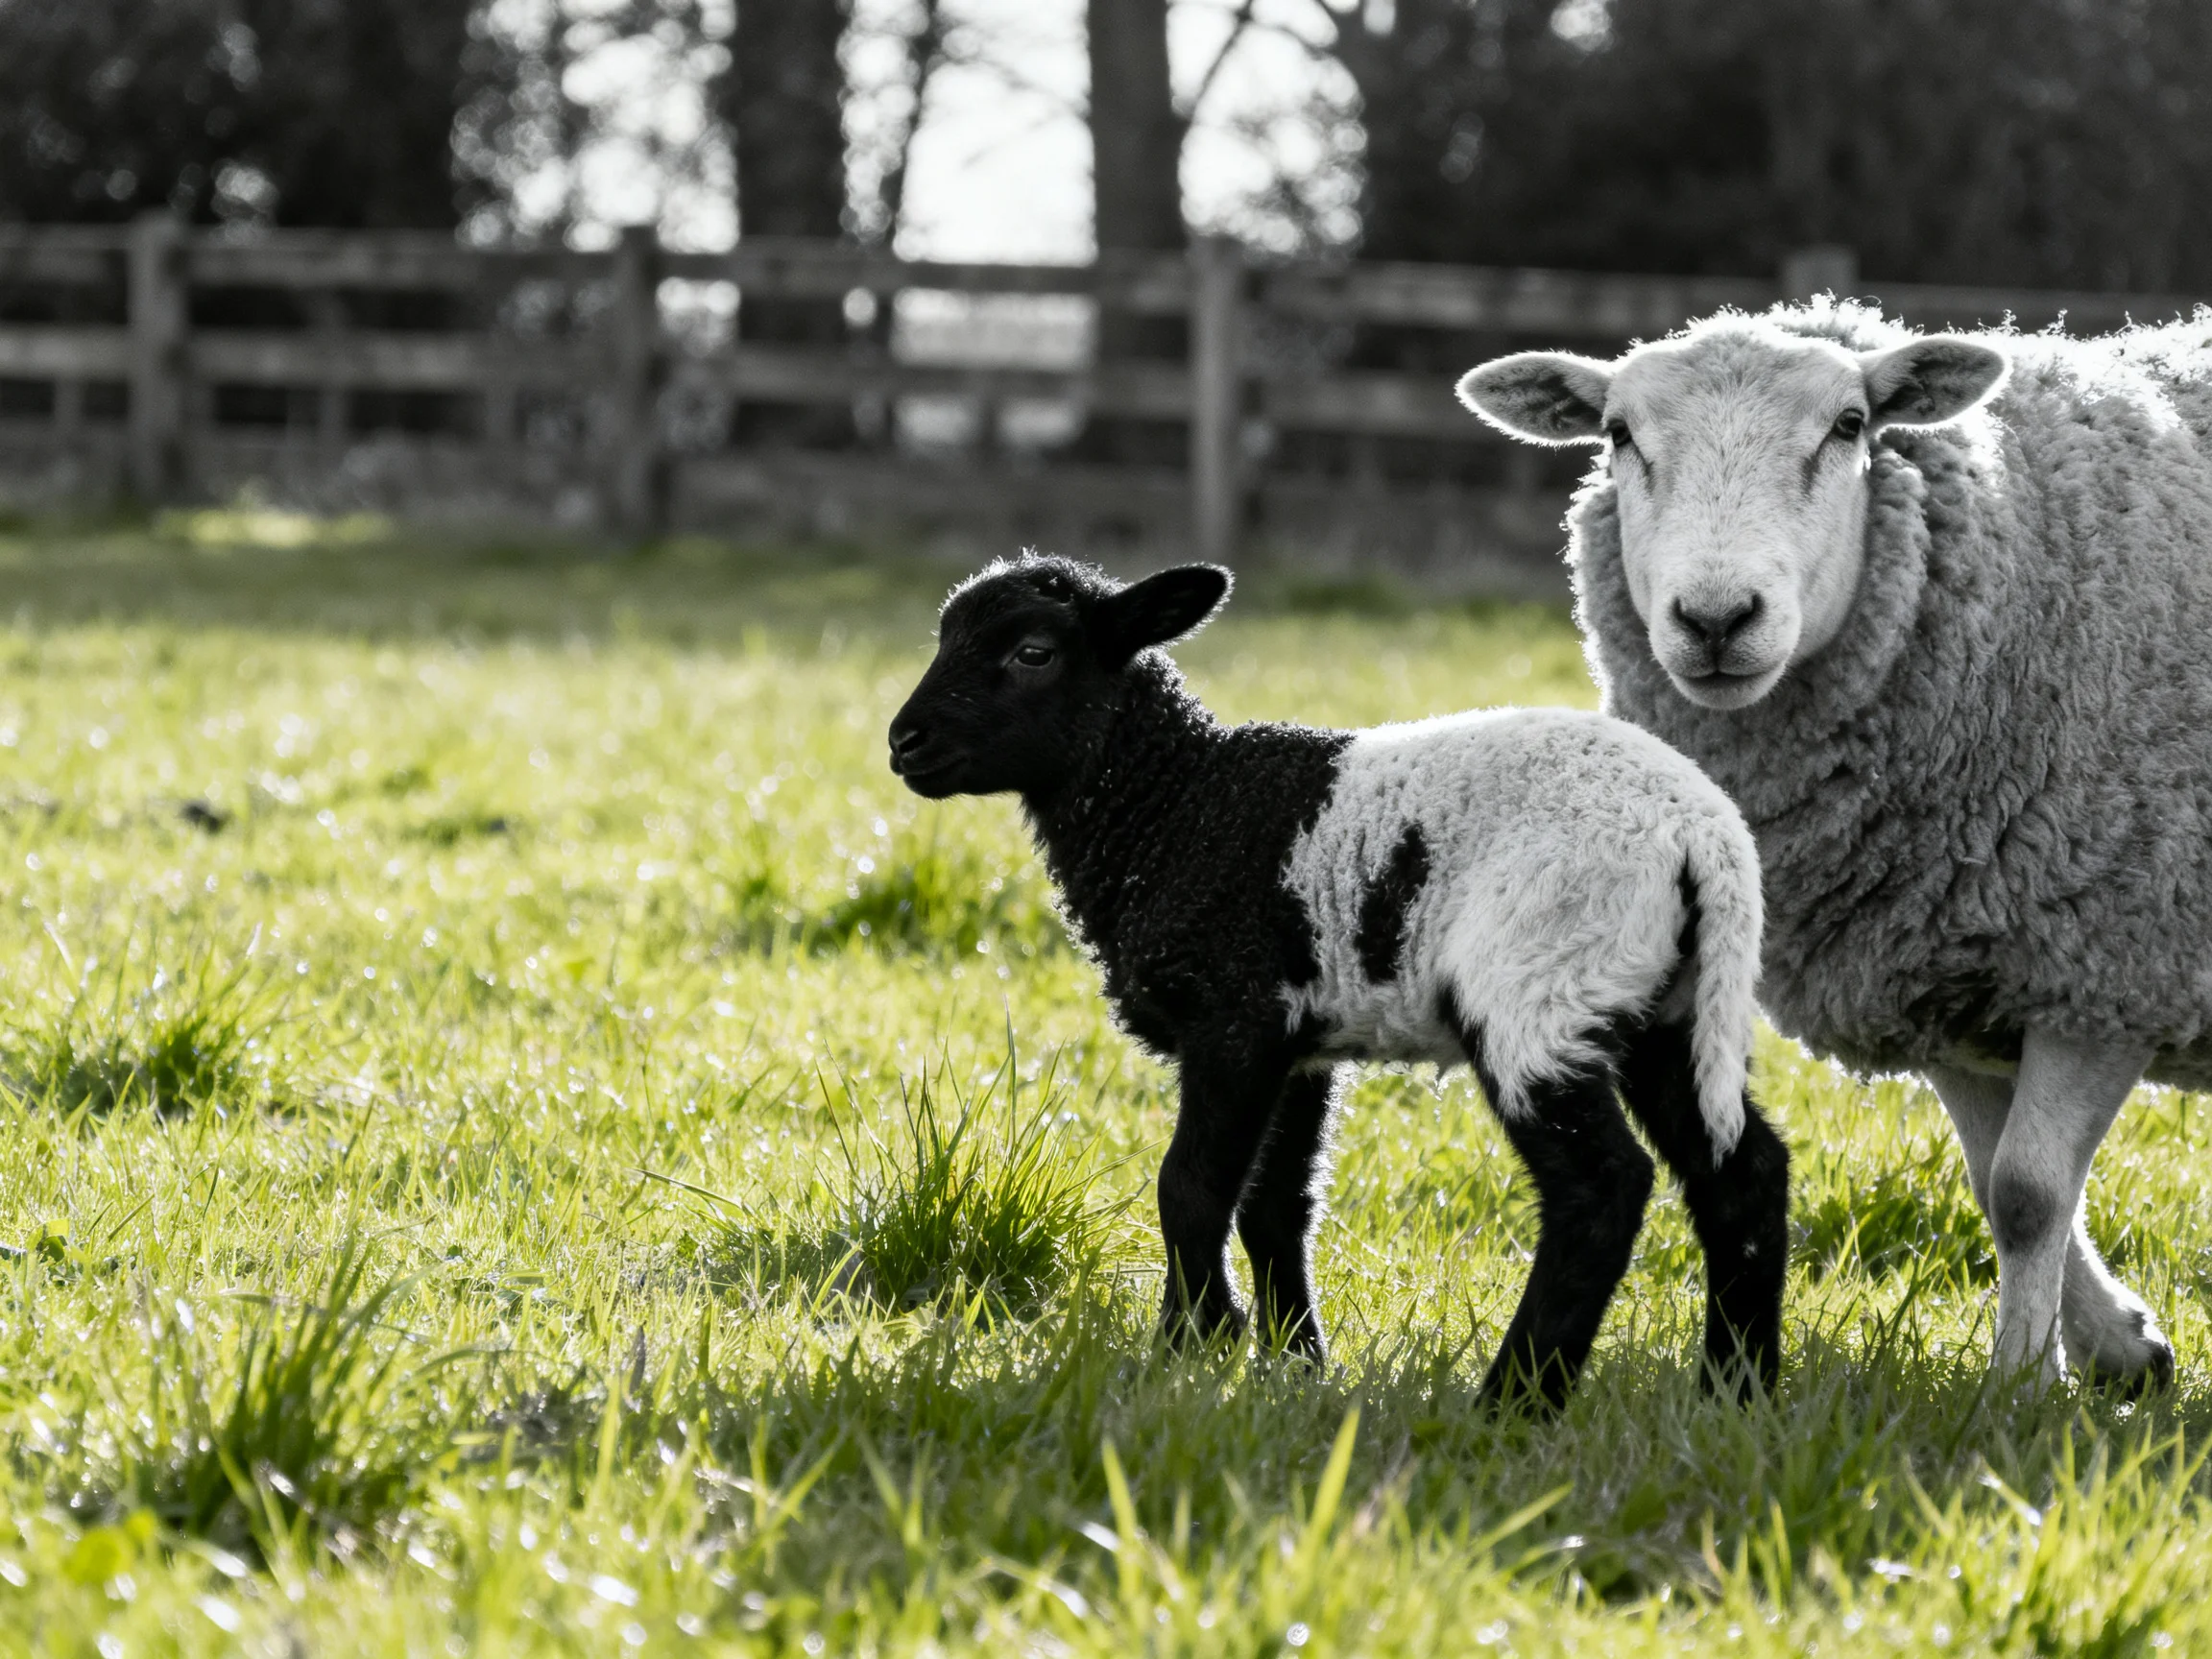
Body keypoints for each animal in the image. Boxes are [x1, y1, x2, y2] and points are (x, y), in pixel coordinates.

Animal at [886, 554, 1788, 1409]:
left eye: (1033, 653)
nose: (904, 743)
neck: (1176, 810)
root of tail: (1702, 836)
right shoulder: (1303, 1042)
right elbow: (1274, 1205)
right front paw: (1294, 1363)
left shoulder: (1235, 1017)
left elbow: (1190, 1188)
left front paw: (1191, 1346)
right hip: (1667, 1007)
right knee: (1743, 1173)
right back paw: (1734, 1392)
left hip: (1542, 984)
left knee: (1602, 1190)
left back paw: (1513, 1403)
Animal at [1457, 300, 2212, 1389]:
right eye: (1618, 433)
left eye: (1850, 425)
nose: (1716, 618)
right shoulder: (1945, 974)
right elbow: (1994, 1182)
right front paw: (2117, 1346)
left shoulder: (2109, 961)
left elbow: (2028, 1191)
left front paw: (2023, 1387)